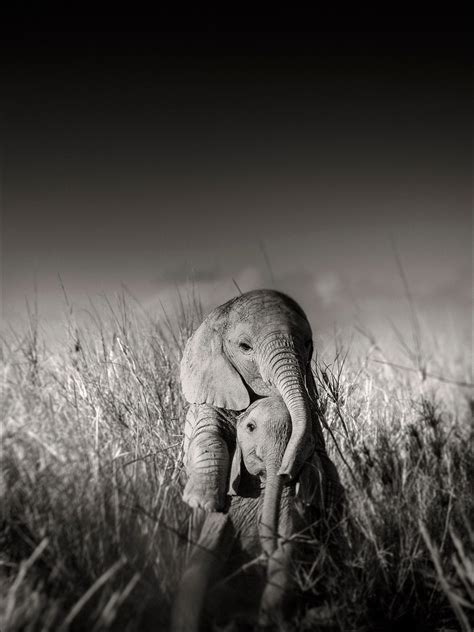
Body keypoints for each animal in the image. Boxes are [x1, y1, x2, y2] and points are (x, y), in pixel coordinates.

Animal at [172, 396, 342, 632]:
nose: (262, 558)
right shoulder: (226, 510)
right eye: (250, 427)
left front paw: (269, 619)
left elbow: (287, 553)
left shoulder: (291, 509)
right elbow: (200, 564)